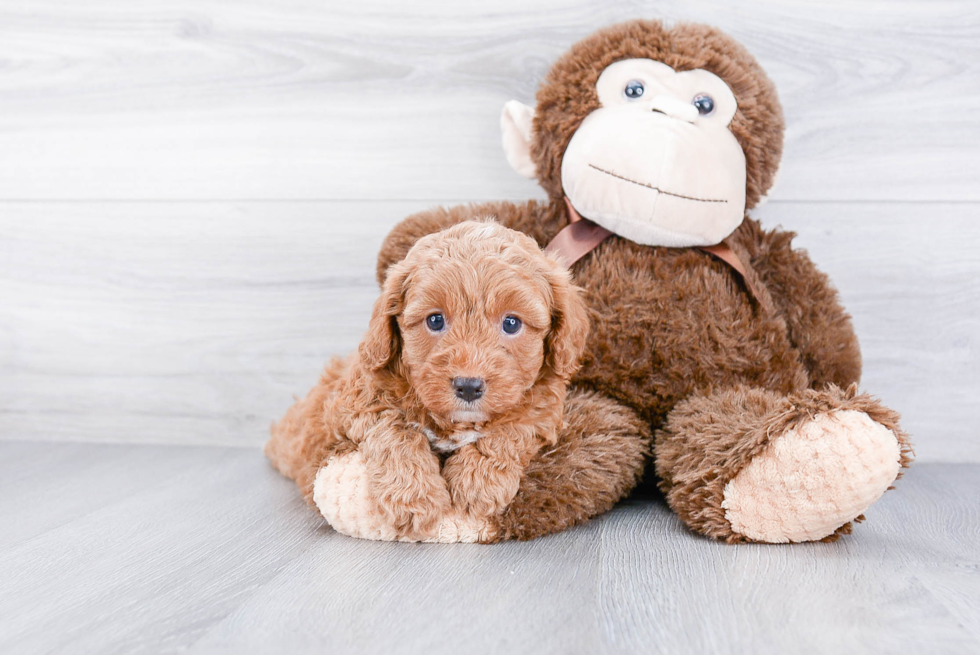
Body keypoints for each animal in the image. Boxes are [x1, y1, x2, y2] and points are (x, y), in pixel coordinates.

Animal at [264, 220, 588, 540]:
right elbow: (396, 430)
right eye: (435, 320)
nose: (468, 386)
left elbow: (512, 428)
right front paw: (415, 498)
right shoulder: (358, 401)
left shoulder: (543, 407)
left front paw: (477, 482)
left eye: (511, 323)